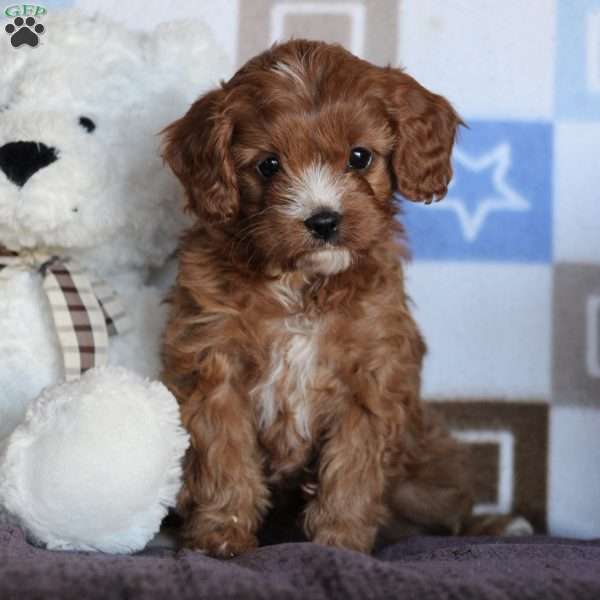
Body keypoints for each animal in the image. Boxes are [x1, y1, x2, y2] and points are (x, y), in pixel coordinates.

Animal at [162, 41, 476, 556]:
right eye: (269, 165)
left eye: (359, 156)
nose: (324, 220)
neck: (302, 285)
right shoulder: (215, 364)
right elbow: (224, 456)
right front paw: (221, 533)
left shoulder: (371, 376)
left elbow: (351, 468)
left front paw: (338, 541)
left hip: (432, 470)